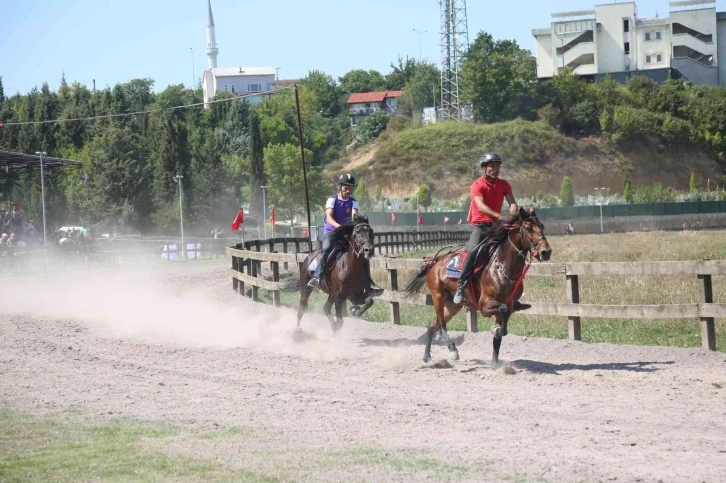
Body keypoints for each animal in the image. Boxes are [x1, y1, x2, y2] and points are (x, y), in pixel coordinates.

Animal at [404, 208, 552, 366]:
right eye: (528, 228)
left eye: (542, 226)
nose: (546, 252)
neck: (501, 268)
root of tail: (435, 262)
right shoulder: (484, 304)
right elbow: (503, 311)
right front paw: (498, 330)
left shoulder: (510, 304)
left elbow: (500, 332)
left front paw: (495, 363)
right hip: (438, 296)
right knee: (440, 325)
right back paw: (453, 350)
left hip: (453, 304)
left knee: (432, 324)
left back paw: (426, 356)